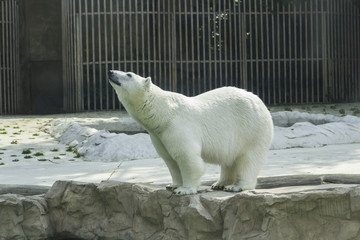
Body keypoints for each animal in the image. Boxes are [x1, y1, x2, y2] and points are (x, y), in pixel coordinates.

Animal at [109, 70, 272, 194]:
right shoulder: (158, 135)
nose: (110, 71)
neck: (164, 113)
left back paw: (236, 186)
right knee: (228, 160)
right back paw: (219, 183)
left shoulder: (178, 126)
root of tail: (261, 103)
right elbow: (170, 160)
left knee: (248, 159)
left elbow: (187, 157)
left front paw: (184, 190)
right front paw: (173, 185)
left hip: (251, 129)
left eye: (129, 74)